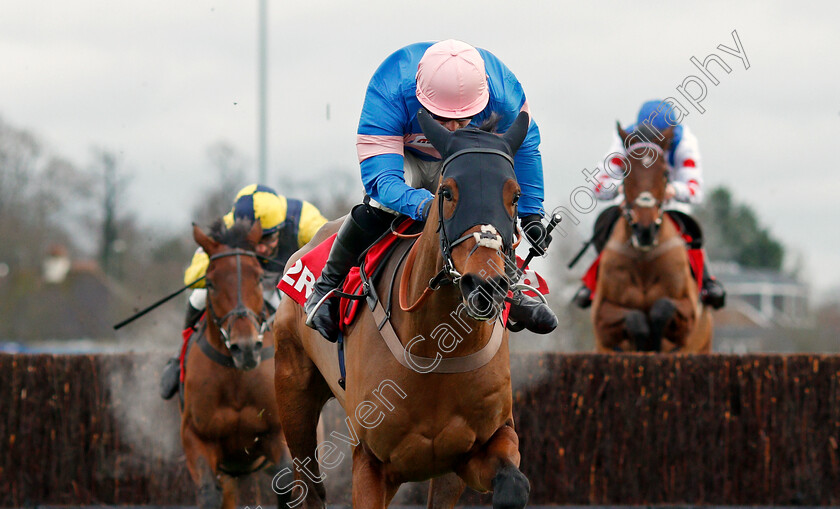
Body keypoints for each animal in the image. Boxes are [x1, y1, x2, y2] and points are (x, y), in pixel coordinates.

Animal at [182, 219, 294, 508]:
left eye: (258, 277)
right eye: (210, 283)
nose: (245, 348)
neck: (236, 378)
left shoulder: (276, 432)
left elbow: (287, 480)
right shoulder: (196, 436)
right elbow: (209, 493)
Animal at [592, 124, 716, 354]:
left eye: (665, 172)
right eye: (625, 172)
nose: (645, 230)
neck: (644, 261)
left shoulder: (688, 315)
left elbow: (662, 309)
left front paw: (656, 344)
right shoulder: (601, 319)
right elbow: (635, 319)